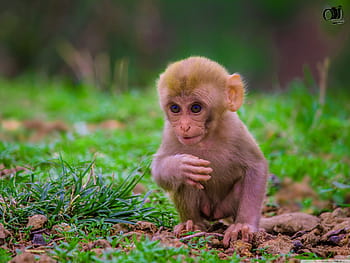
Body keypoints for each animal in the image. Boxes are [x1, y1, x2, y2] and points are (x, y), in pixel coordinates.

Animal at [151, 56, 268, 248]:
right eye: (175, 108)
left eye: (196, 108)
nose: (184, 126)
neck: (206, 137)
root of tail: (214, 213)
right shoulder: (171, 132)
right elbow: (159, 171)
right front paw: (180, 167)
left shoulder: (234, 128)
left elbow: (256, 166)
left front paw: (243, 225)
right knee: (187, 182)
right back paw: (192, 224)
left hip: (225, 206)